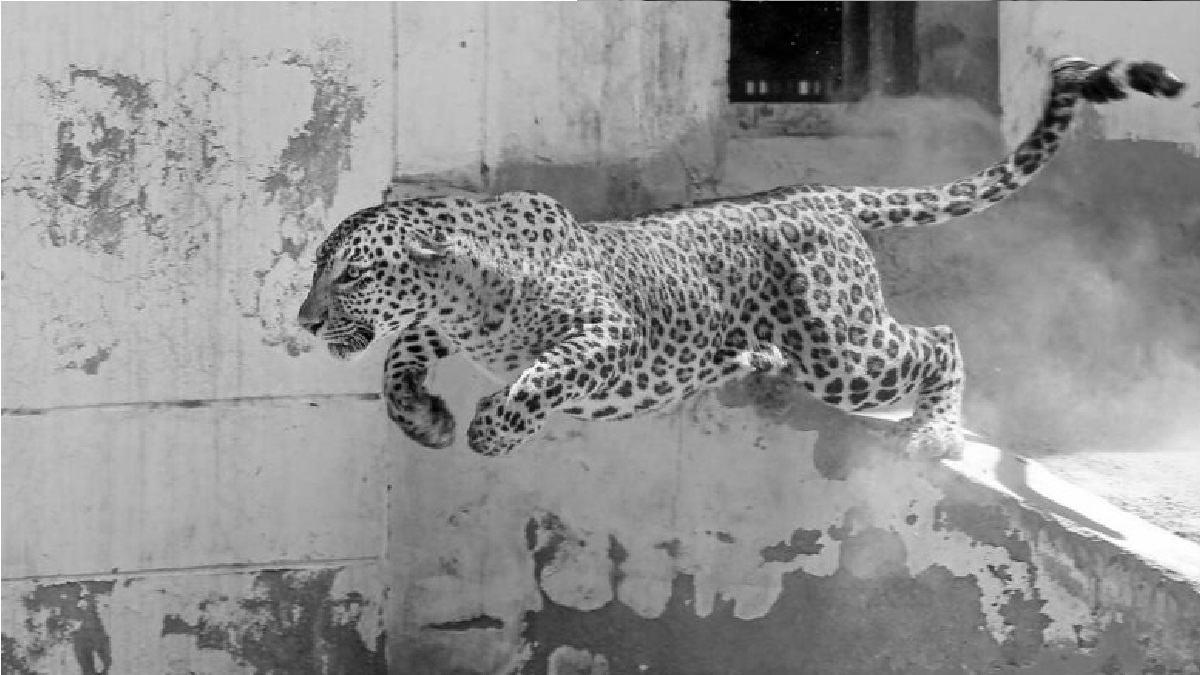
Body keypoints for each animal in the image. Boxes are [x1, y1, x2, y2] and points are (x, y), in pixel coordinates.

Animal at [298, 57, 1184, 459]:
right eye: (317, 268)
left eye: (353, 274)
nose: (305, 321)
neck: (466, 289)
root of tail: (817, 195)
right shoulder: (442, 323)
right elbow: (400, 355)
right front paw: (423, 416)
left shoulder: (607, 331)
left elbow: (539, 374)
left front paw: (489, 427)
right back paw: (753, 361)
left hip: (842, 350)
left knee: (937, 339)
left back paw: (933, 432)